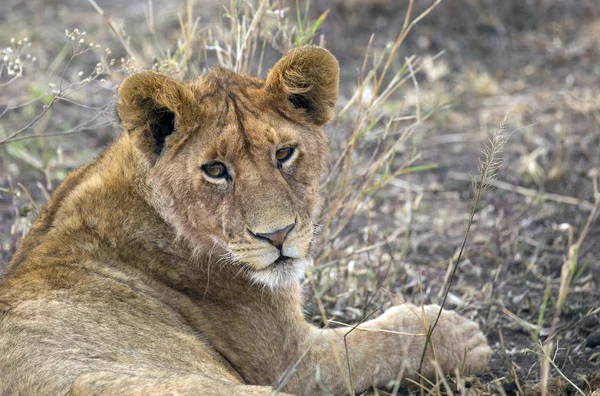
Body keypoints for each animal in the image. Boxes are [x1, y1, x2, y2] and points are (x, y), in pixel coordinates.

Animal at [0, 47, 492, 396]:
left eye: (284, 153)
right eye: (215, 170)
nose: (277, 235)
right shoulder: (294, 363)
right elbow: (377, 344)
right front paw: (455, 335)